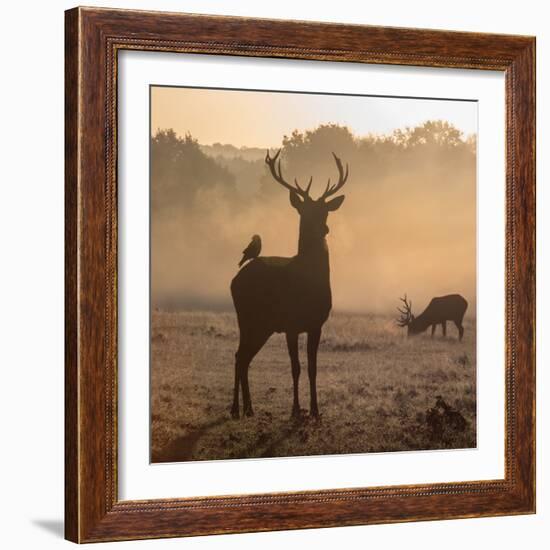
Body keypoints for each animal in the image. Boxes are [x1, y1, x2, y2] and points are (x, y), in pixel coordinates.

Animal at [229, 150, 350, 418]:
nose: (324, 228)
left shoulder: (316, 324)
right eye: (304, 211)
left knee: (244, 357)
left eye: (325, 210)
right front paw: (295, 409)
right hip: (248, 317)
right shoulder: (291, 324)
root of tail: (234, 280)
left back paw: (248, 409)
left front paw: (315, 410)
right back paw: (235, 409)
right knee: (239, 356)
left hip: (261, 325)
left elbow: (313, 368)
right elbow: (295, 367)